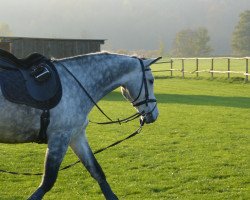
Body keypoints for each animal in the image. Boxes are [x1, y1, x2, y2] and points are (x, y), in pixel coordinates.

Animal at [0, 52, 159, 199]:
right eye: (151, 81)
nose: (154, 114)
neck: (75, 83)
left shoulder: (76, 136)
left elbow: (97, 171)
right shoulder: (60, 138)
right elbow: (47, 181)